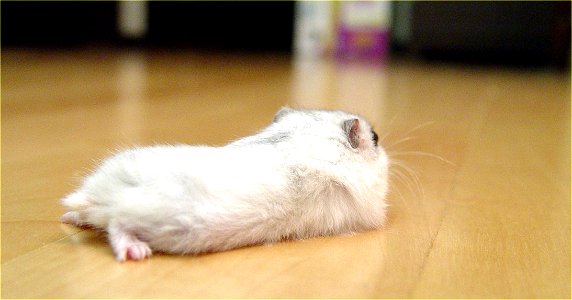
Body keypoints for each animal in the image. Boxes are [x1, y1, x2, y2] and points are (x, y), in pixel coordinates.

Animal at [61, 107, 388, 260]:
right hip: (155, 218)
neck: (308, 135)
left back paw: (71, 217)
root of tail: (104, 194)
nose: (381, 146)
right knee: (118, 225)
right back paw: (136, 252)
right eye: (375, 138)